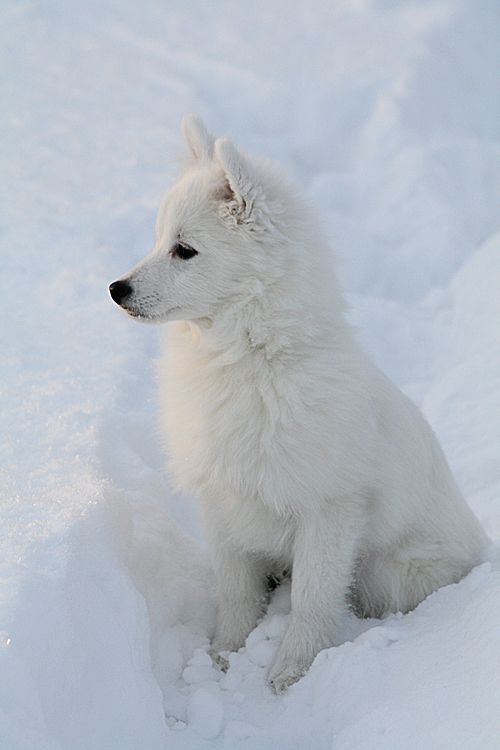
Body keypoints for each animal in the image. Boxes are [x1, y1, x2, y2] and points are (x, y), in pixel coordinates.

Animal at [109, 114, 488, 696]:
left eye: (184, 250)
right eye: (157, 240)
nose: (116, 289)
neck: (250, 359)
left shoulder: (329, 509)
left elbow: (312, 598)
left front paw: (289, 674)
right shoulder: (224, 503)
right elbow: (236, 591)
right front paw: (224, 656)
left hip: (384, 569)